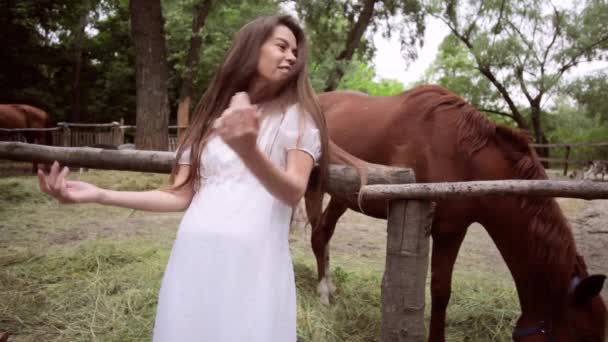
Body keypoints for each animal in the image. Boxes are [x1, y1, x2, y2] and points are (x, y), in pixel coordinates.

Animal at [308, 84, 608, 340]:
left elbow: (444, 292)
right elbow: (439, 292)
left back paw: (329, 286)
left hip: (343, 197)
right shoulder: (441, 229)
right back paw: (322, 293)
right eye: (584, 335)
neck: (464, 155)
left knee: (324, 232)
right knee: (318, 235)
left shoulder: (455, 231)